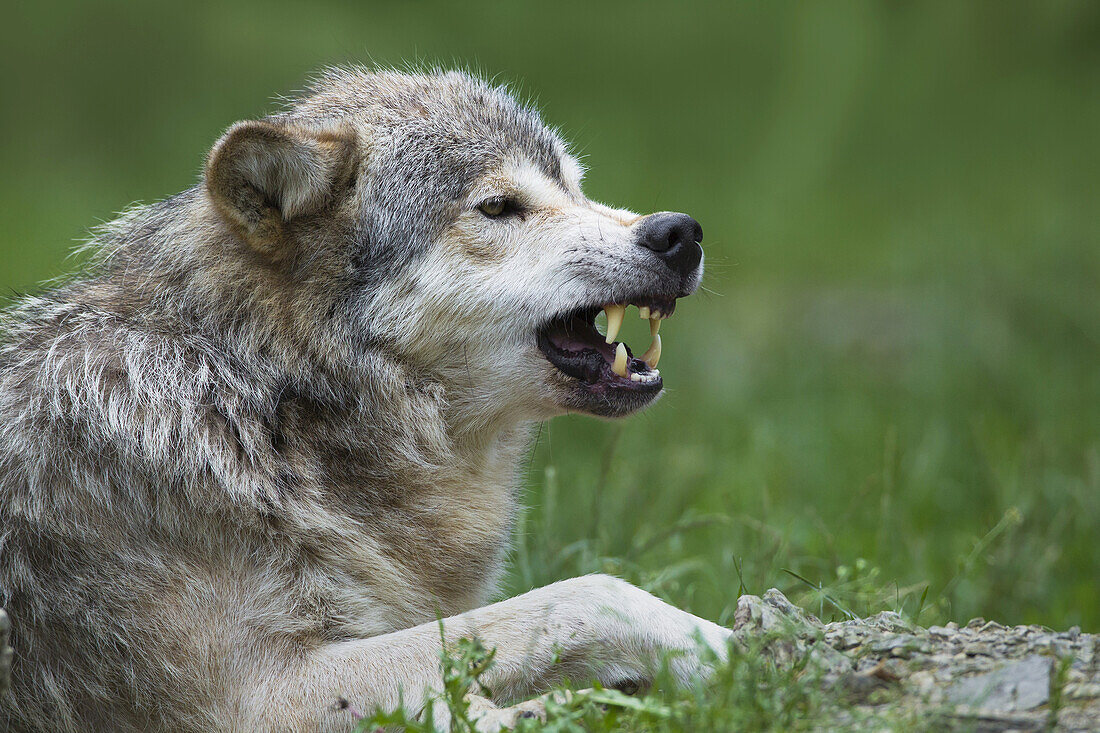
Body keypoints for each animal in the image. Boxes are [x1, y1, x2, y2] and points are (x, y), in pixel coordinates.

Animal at [2, 65, 730, 726]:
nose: (679, 232)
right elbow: (590, 594)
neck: (266, 407)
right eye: (499, 206)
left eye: (576, 189)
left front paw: (743, 648)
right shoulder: (260, 697)